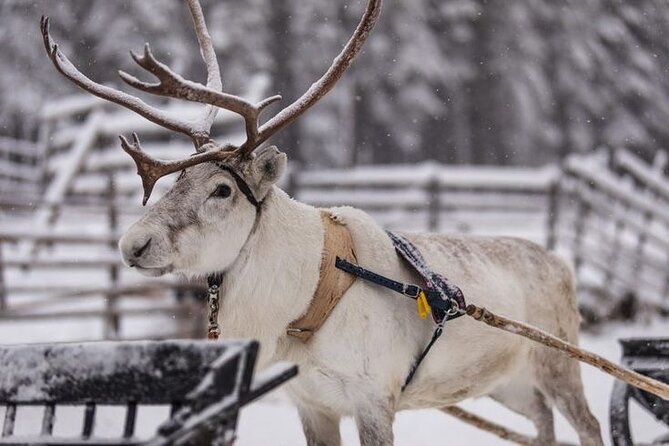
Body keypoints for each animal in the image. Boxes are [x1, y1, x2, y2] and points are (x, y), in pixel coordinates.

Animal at [41, 1, 604, 445]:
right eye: (174, 181)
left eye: (222, 189)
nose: (133, 243)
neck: (306, 300)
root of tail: (562, 264)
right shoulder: (310, 402)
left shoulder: (375, 399)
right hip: (509, 381)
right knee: (542, 424)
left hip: (558, 363)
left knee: (588, 423)